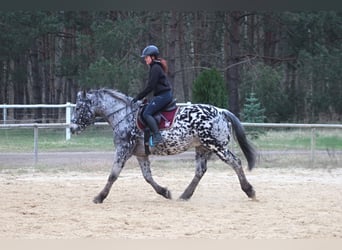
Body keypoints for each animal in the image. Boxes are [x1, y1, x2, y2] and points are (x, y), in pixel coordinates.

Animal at [69, 88, 256, 203]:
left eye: (78, 108)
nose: (72, 128)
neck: (124, 116)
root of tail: (222, 111)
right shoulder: (141, 154)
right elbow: (147, 177)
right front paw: (165, 192)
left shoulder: (123, 150)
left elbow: (113, 175)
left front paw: (99, 197)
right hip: (202, 148)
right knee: (200, 171)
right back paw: (185, 195)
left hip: (217, 146)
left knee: (235, 162)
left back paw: (249, 190)